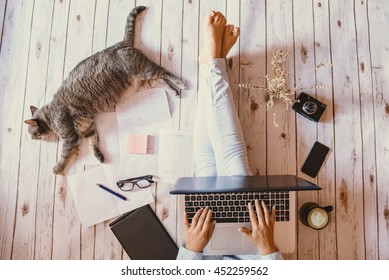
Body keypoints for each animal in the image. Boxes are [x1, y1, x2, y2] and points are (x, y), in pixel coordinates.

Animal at [23, 5, 185, 174]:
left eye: (32, 132)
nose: (32, 139)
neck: (50, 115)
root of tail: (118, 44)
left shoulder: (69, 136)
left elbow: (64, 154)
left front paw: (57, 168)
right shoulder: (89, 127)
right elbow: (92, 142)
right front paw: (99, 155)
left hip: (143, 70)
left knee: (164, 72)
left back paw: (179, 84)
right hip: (141, 82)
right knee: (160, 81)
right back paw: (174, 92)